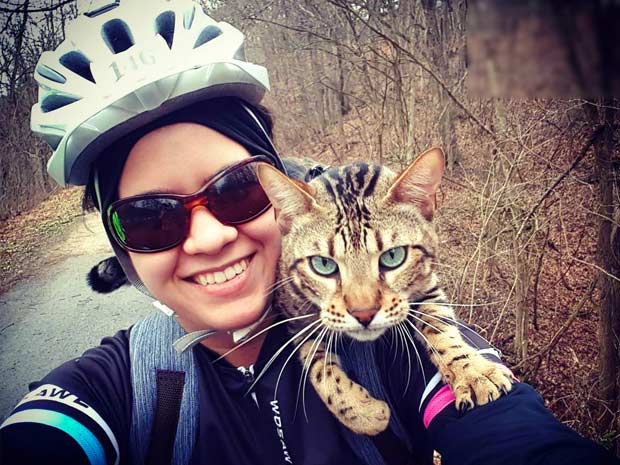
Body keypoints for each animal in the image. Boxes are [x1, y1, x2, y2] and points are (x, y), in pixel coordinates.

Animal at [256, 148, 512, 436]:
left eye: (393, 256)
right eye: (323, 264)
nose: (364, 313)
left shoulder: (426, 285)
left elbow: (441, 328)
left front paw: (473, 372)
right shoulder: (296, 320)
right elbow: (320, 370)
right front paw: (362, 412)